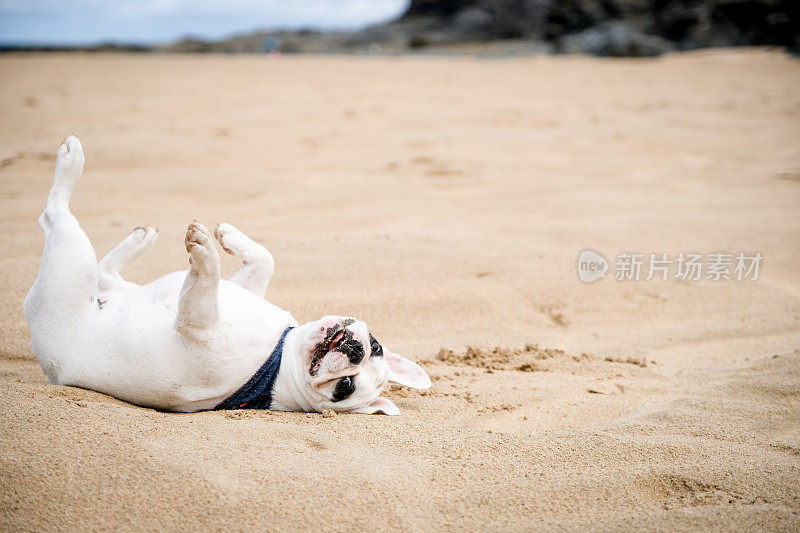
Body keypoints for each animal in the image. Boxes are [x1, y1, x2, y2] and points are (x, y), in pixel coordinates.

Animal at [23, 135, 432, 414]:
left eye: (345, 387)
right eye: (375, 345)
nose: (355, 349)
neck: (282, 356)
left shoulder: (199, 325)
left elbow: (205, 282)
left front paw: (205, 250)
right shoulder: (245, 289)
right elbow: (266, 260)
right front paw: (230, 238)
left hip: (65, 271)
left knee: (56, 216)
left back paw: (70, 161)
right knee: (105, 271)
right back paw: (140, 238)